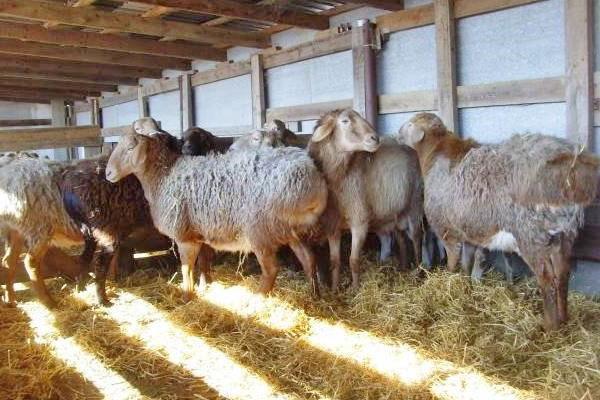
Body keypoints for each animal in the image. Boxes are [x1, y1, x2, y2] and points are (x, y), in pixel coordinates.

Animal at [104, 131, 328, 300]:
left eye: (130, 148)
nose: (108, 173)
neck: (164, 177)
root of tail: (311, 175)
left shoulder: (184, 236)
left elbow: (186, 269)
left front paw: (187, 296)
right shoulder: (201, 233)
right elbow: (203, 263)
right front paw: (204, 286)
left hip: (260, 229)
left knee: (271, 269)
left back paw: (257, 299)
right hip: (290, 229)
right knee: (308, 259)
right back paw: (314, 295)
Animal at [308, 109, 424, 290]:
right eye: (345, 121)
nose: (375, 138)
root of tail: (409, 148)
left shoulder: (360, 222)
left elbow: (353, 261)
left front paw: (355, 290)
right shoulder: (332, 227)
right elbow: (335, 261)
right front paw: (334, 290)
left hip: (414, 205)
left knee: (416, 239)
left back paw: (418, 273)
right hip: (394, 213)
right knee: (401, 240)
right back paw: (403, 268)